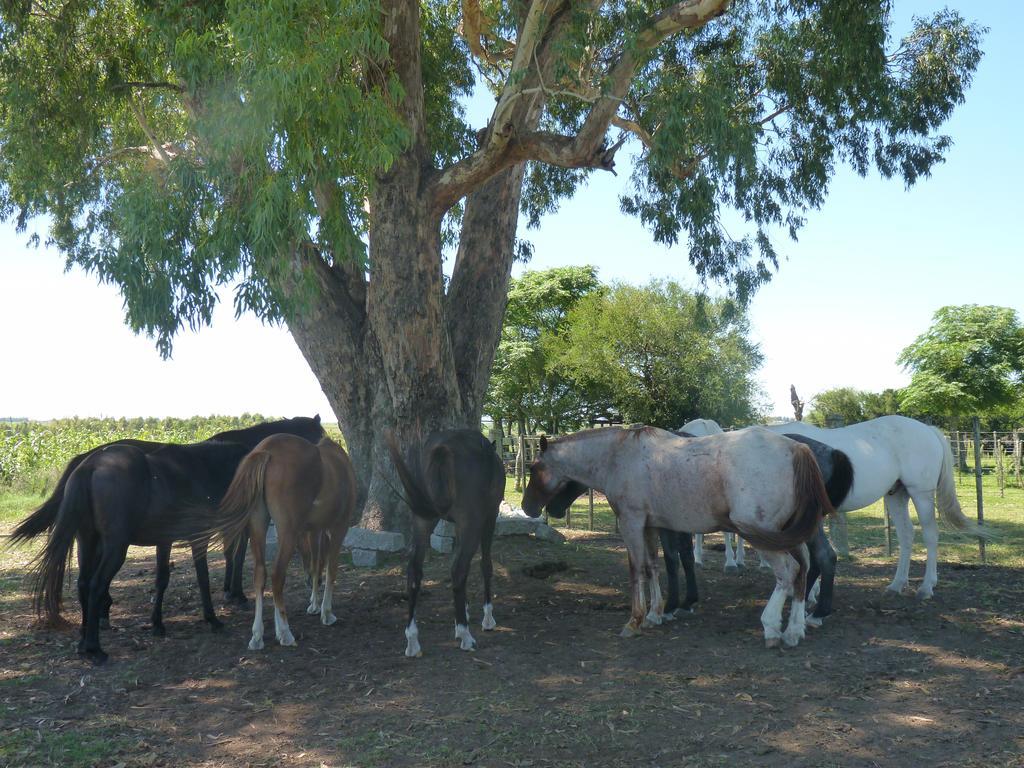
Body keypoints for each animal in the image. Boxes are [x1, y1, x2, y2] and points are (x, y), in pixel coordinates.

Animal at [12, 417, 321, 638]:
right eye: (318, 438)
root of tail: (86, 462)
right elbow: (223, 563)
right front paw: (230, 599)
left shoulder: (170, 538)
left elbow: (167, 576)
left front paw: (160, 622)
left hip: (89, 539)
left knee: (85, 580)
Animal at [209, 436, 358, 651]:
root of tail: (267, 451)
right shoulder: (339, 528)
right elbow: (331, 569)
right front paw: (326, 612)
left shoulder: (315, 530)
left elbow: (315, 566)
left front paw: (314, 604)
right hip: (289, 532)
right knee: (277, 575)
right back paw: (286, 633)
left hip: (258, 525)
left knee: (260, 575)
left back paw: (258, 635)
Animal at [385, 430, 505, 659]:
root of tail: (442, 447)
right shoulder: (489, 517)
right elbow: (485, 565)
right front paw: (486, 618)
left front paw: (462, 613)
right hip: (471, 522)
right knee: (459, 570)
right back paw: (466, 636)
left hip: (422, 519)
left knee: (415, 572)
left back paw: (412, 640)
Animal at [524, 428, 835, 651]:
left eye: (534, 469)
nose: (528, 507)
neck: (619, 455)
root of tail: (796, 448)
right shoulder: (650, 526)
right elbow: (651, 566)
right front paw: (655, 614)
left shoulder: (631, 522)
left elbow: (636, 569)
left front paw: (635, 620)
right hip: (785, 535)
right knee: (804, 569)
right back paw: (794, 629)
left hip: (763, 536)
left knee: (788, 572)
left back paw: (772, 627)